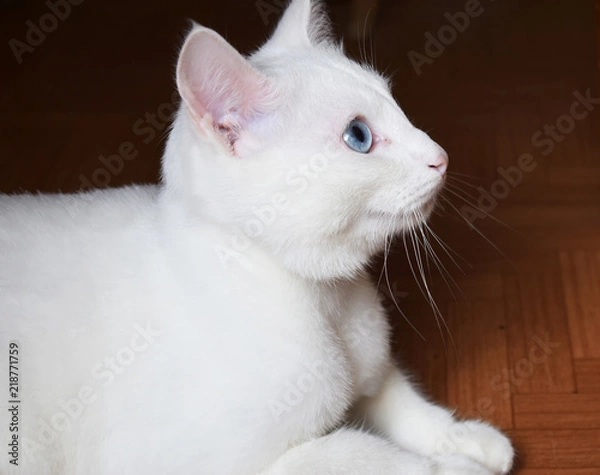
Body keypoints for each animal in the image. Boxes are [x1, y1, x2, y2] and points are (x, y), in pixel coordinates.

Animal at [1, 0, 516, 475]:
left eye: (397, 107)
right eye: (359, 136)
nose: (441, 156)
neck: (327, 302)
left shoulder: (376, 372)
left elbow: (406, 404)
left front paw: (464, 439)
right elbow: (361, 453)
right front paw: (453, 469)